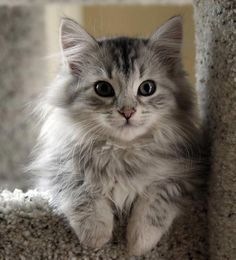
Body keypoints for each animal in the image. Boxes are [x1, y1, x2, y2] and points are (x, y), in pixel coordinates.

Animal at [30, 16, 204, 256]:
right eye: (103, 88)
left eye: (147, 88)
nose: (127, 112)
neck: (122, 151)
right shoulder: (57, 171)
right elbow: (82, 193)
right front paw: (96, 236)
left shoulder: (184, 176)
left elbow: (156, 202)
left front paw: (139, 243)